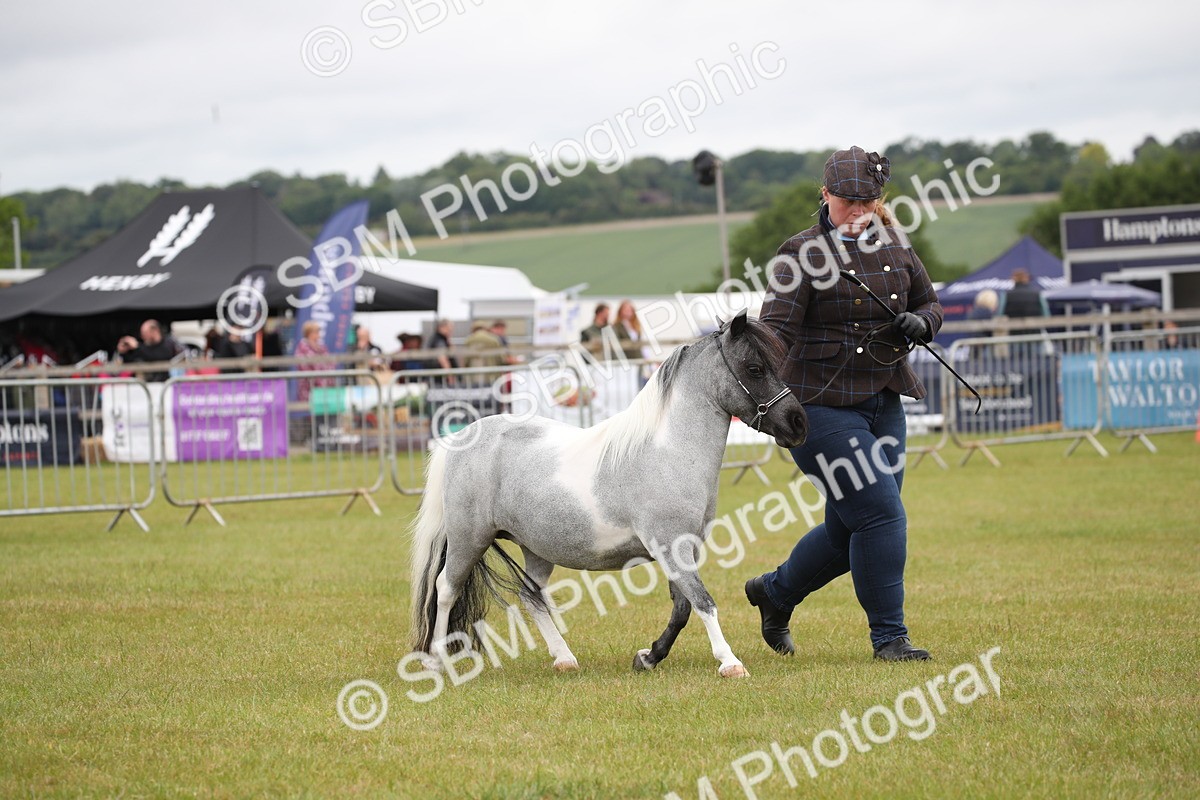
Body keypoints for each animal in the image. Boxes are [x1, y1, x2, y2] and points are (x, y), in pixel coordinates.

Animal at [409, 310, 808, 678]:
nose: (798, 422)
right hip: (469, 538)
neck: (669, 451)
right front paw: (729, 663)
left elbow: (682, 608)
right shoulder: (671, 546)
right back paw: (437, 661)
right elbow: (703, 602)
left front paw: (649, 657)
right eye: (755, 368)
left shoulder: (684, 548)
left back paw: (565, 659)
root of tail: (462, 438)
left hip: (536, 549)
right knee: (445, 589)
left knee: (530, 596)